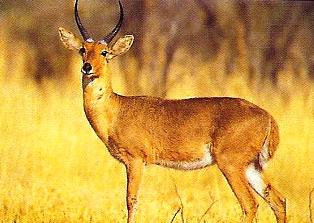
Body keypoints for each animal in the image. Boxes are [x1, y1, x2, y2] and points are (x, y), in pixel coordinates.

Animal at [59, 0, 288, 222]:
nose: (87, 67)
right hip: (251, 166)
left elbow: (131, 201)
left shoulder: (135, 161)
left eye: (104, 52)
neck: (116, 110)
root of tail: (267, 116)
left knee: (250, 204)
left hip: (231, 164)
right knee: (278, 200)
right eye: (83, 50)